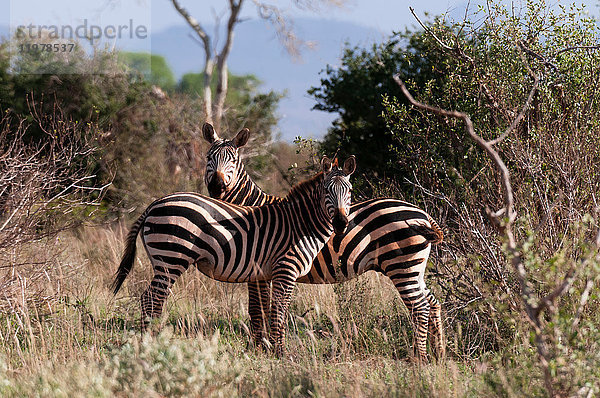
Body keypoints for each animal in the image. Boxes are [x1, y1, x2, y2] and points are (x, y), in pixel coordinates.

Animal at [112, 153, 356, 354]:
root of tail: (153, 204)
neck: (301, 225)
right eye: (326, 191)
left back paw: (151, 340)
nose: (341, 223)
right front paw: (281, 352)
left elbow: (267, 310)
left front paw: (268, 349)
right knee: (151, 298)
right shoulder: (285, 270)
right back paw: (150, 343)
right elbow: (280, 311)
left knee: (151, 299)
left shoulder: (267, 274)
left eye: (350, 192)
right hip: (172, 258)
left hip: (164, 260)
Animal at [204, 123, 442, 362]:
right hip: (415, 268)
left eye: (233, 160)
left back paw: (420, 357)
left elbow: (258, 309)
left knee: (419, 306)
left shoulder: (258, 268)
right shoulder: (262, 271)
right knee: (432, 302)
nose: (216, 186)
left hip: (402, 266)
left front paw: (259, 349)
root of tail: (422, 213)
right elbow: (261, 308)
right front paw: (261, 348)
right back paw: (438, 352)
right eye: (208, 157)